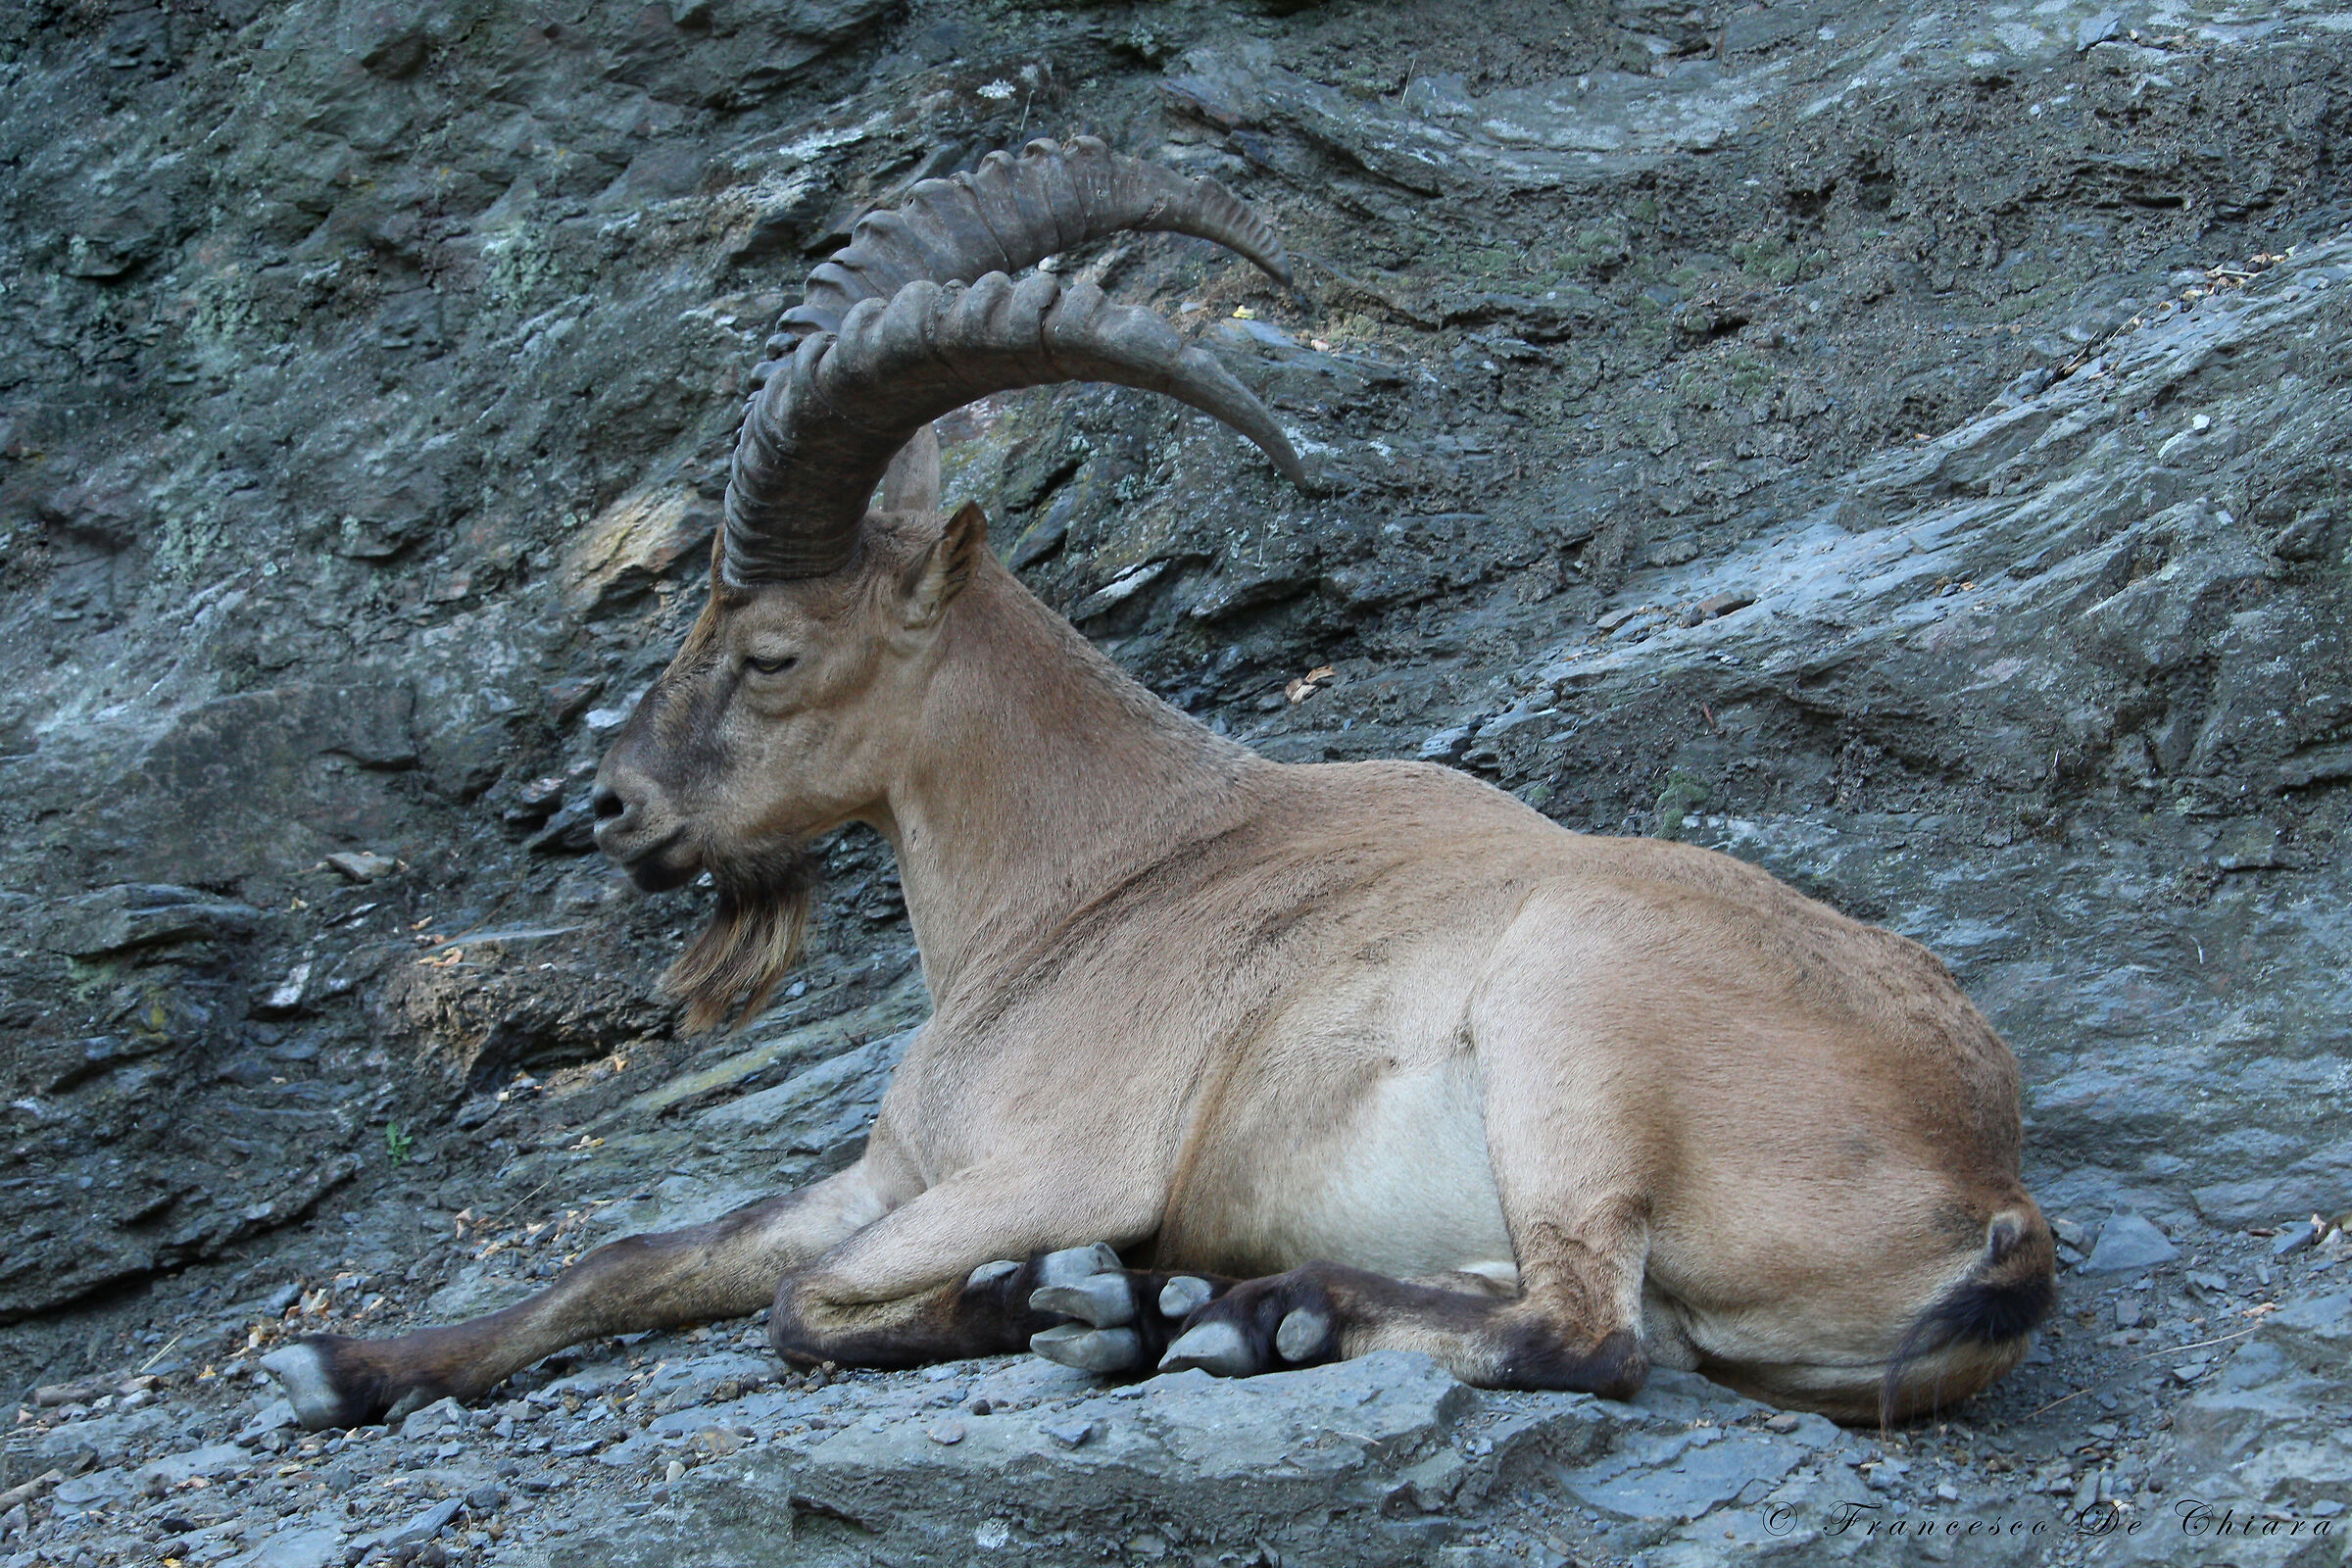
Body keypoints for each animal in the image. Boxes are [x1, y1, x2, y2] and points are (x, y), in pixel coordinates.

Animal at [264, 137, 2053, 1432]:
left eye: (766, 649)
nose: (612, 810)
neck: (1095, 877)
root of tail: (1988, 1192)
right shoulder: (898, 1172)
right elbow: (645, 1258)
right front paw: (349, 1364)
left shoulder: (1046, 1170)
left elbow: (799, 1309)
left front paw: (1066, 1300)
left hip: (1575, 1025)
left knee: (1591, 1334)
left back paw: (1238, 1318)